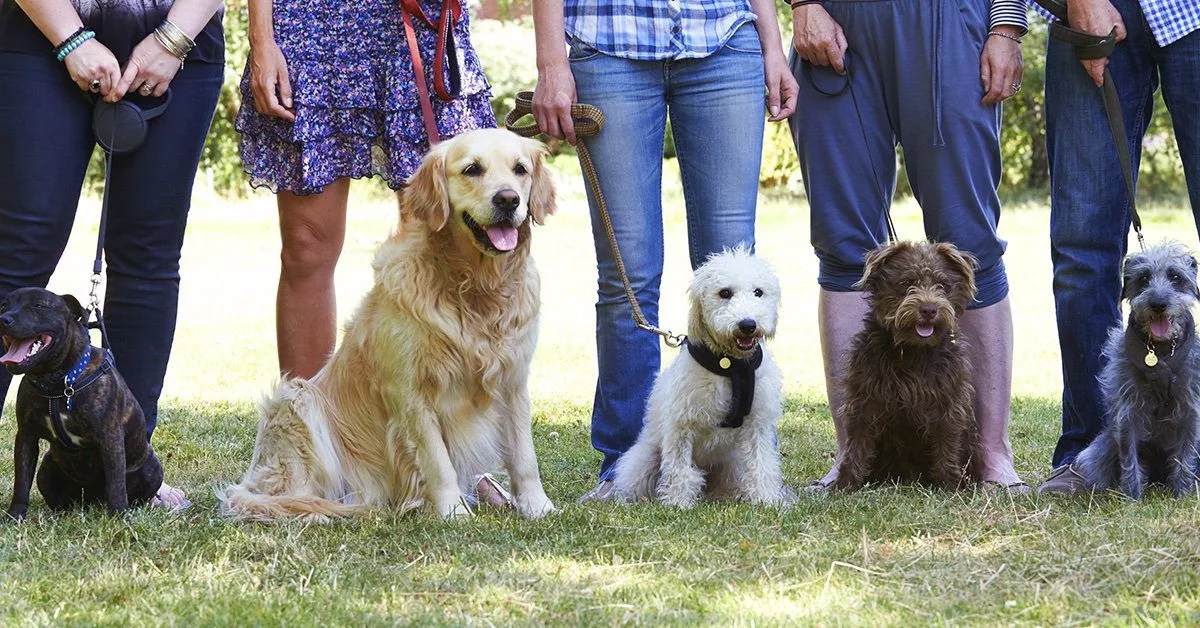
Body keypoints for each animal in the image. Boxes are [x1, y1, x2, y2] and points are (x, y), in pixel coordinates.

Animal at [0, 286, 162, 518]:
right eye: (4, 305)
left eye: (39, 305)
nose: (4, 319)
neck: (59, 382)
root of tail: (93, 500)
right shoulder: (26, 437)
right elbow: (21, 481)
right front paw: (15, 515)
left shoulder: (111, 439)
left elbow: (115, 483)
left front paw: (119, 516)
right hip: (46, 470)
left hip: (153, 468)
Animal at [609, 248, 787, 509]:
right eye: (724, 292)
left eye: (758, 292)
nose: (748, 325)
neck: (730, 366)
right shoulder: (681, 425)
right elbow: (679, 469)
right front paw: (677, 503)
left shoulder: (758, 424)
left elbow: (761, 464)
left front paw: (766, 499)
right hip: (643, 460)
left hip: (732, 464)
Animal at [835, 241, 984, 492]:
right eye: (906, 283)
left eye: (943, 285)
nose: (929, 309)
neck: (913, 350)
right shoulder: (864, 399)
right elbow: (857, 444)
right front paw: (845, 485)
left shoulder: (948, 402)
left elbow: (947, 444)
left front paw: (951, 485)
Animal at [1075, 243, 1200, 499]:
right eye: (1144, 278)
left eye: (1175, 276)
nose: (1158, 304)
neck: (1161, 351)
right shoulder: (1128, 412)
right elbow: (1129, 456)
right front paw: (1132, 497)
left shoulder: (1191, 409)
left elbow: (1186, 455)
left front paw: (1182, 493)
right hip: (1098, 451)